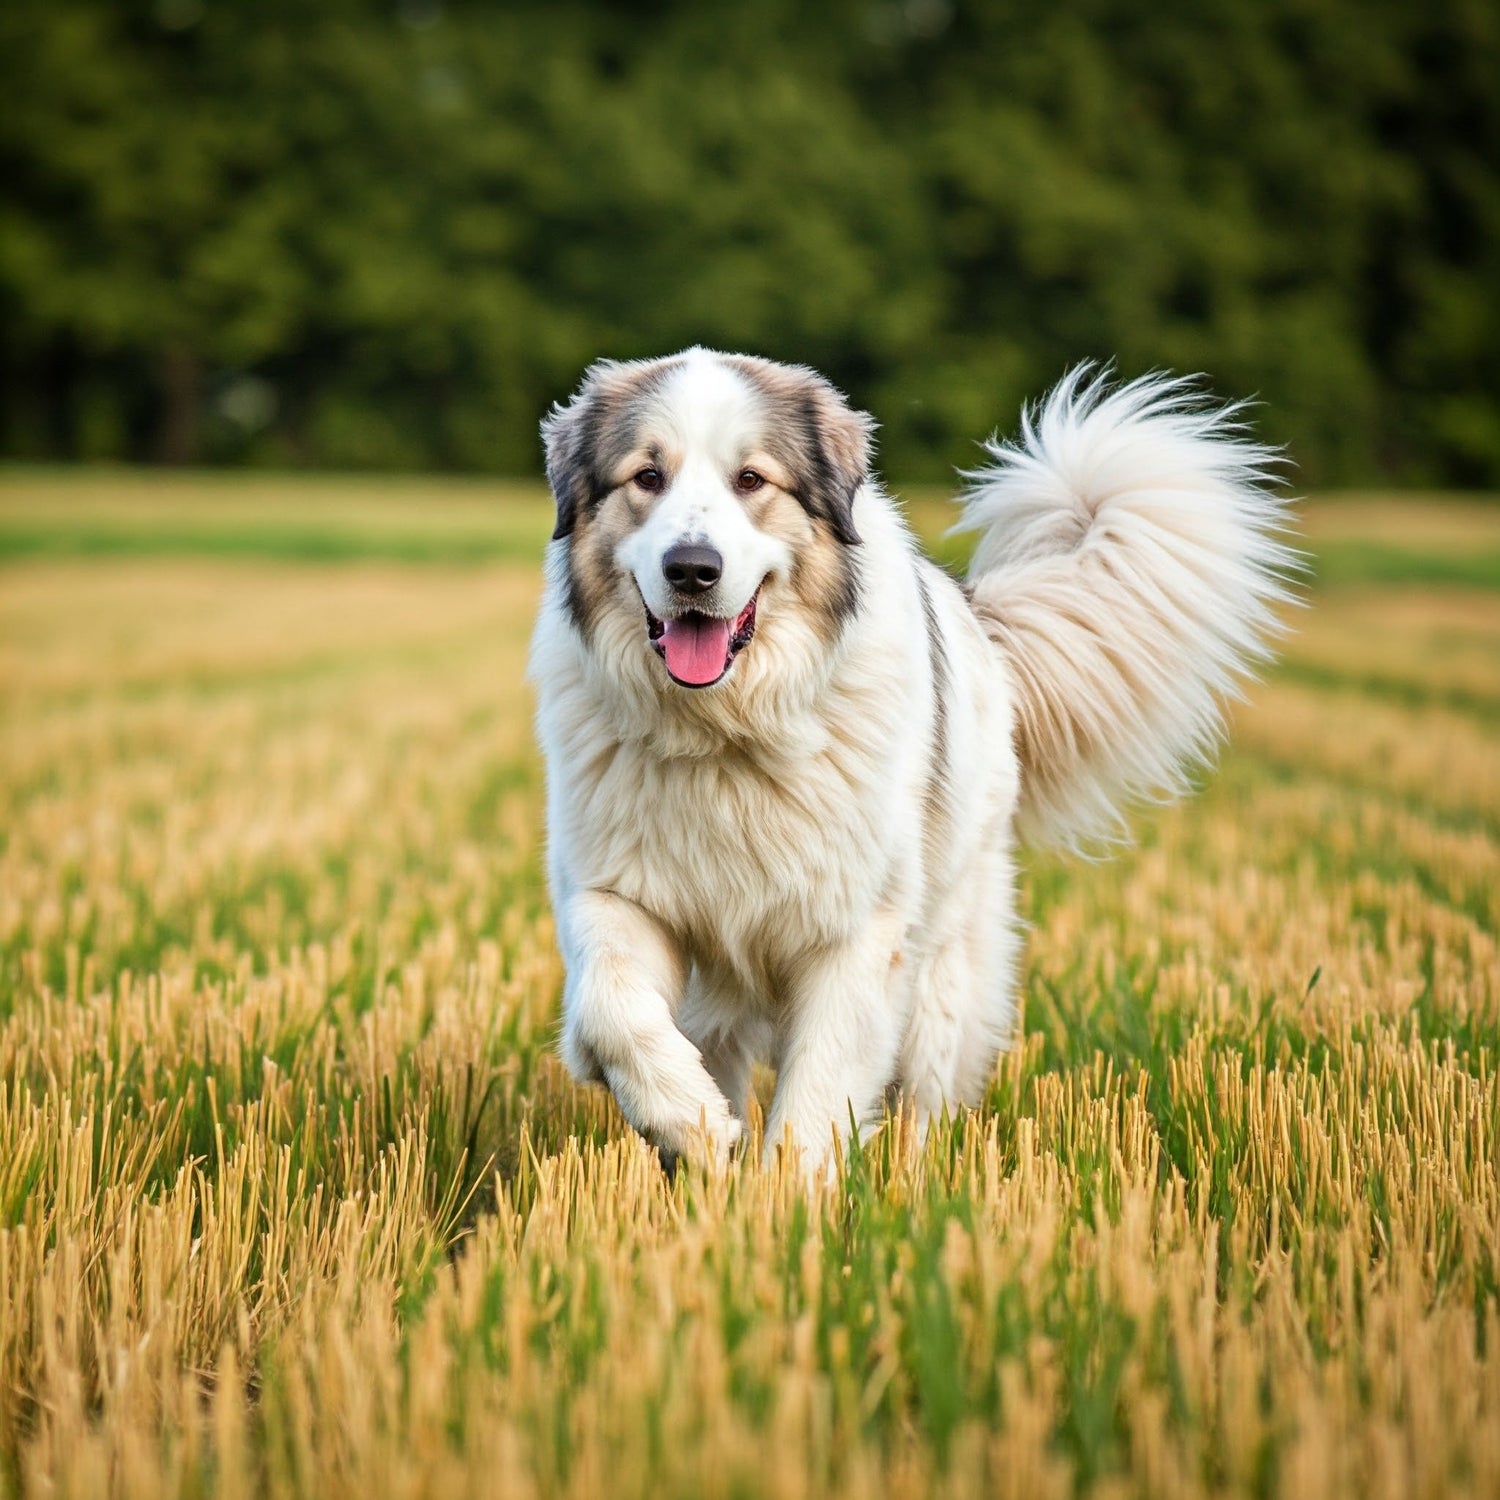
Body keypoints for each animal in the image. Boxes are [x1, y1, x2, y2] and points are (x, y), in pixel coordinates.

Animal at [525, 348, 1290, 1170]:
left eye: (751, 480)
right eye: (648, 477)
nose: (692, 569)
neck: (725, 733)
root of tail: (979, 623)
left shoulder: (857, 933)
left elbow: (817, 1094)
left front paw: (789, 1196)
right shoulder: (614, 893)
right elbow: (609, 1010)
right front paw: (687, 1121)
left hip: (942, 965)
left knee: (924, 1095)